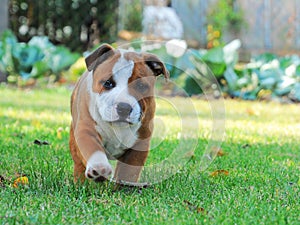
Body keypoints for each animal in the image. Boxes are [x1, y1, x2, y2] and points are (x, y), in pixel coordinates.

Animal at [69, 44, 170, 185]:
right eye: (107, 83)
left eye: (140, 86)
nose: (124, 108)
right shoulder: (86, 130)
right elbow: (93, 148)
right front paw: (99, 168)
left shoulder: (139, 145)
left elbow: (128, 173)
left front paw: (125, 186)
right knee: (78, 163)